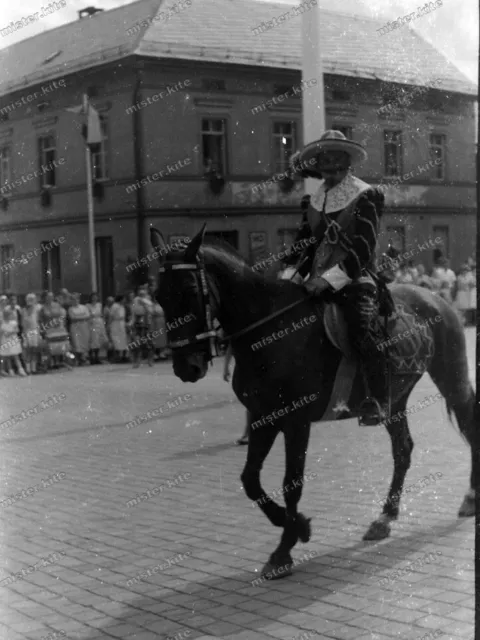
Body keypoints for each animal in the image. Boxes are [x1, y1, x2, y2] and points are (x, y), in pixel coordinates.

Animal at [152, 226, 474, 580]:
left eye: (189, 290)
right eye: (158, 296)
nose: (187, 367)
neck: (269, 328)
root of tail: (436, 298)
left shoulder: (295, 422)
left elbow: (291, 484)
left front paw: (284, 549)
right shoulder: (263, 418)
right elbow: (250, 480)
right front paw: (296, 526)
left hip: (452, 378)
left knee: (469, 429)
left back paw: (469, 498)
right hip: (395, 400)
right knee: (403, 450)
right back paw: (385, 517)